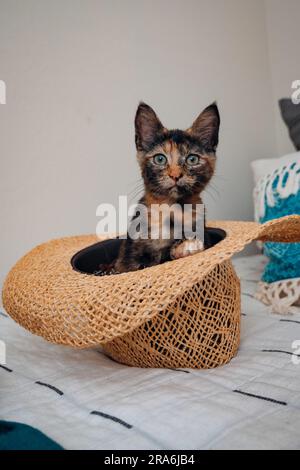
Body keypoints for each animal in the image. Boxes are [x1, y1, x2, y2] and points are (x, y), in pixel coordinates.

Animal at [113, 101, 219, 274]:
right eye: (160, 159)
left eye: (192, 159)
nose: (175, 175)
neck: (172, 209)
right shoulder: (128, 258)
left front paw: (186, 246)